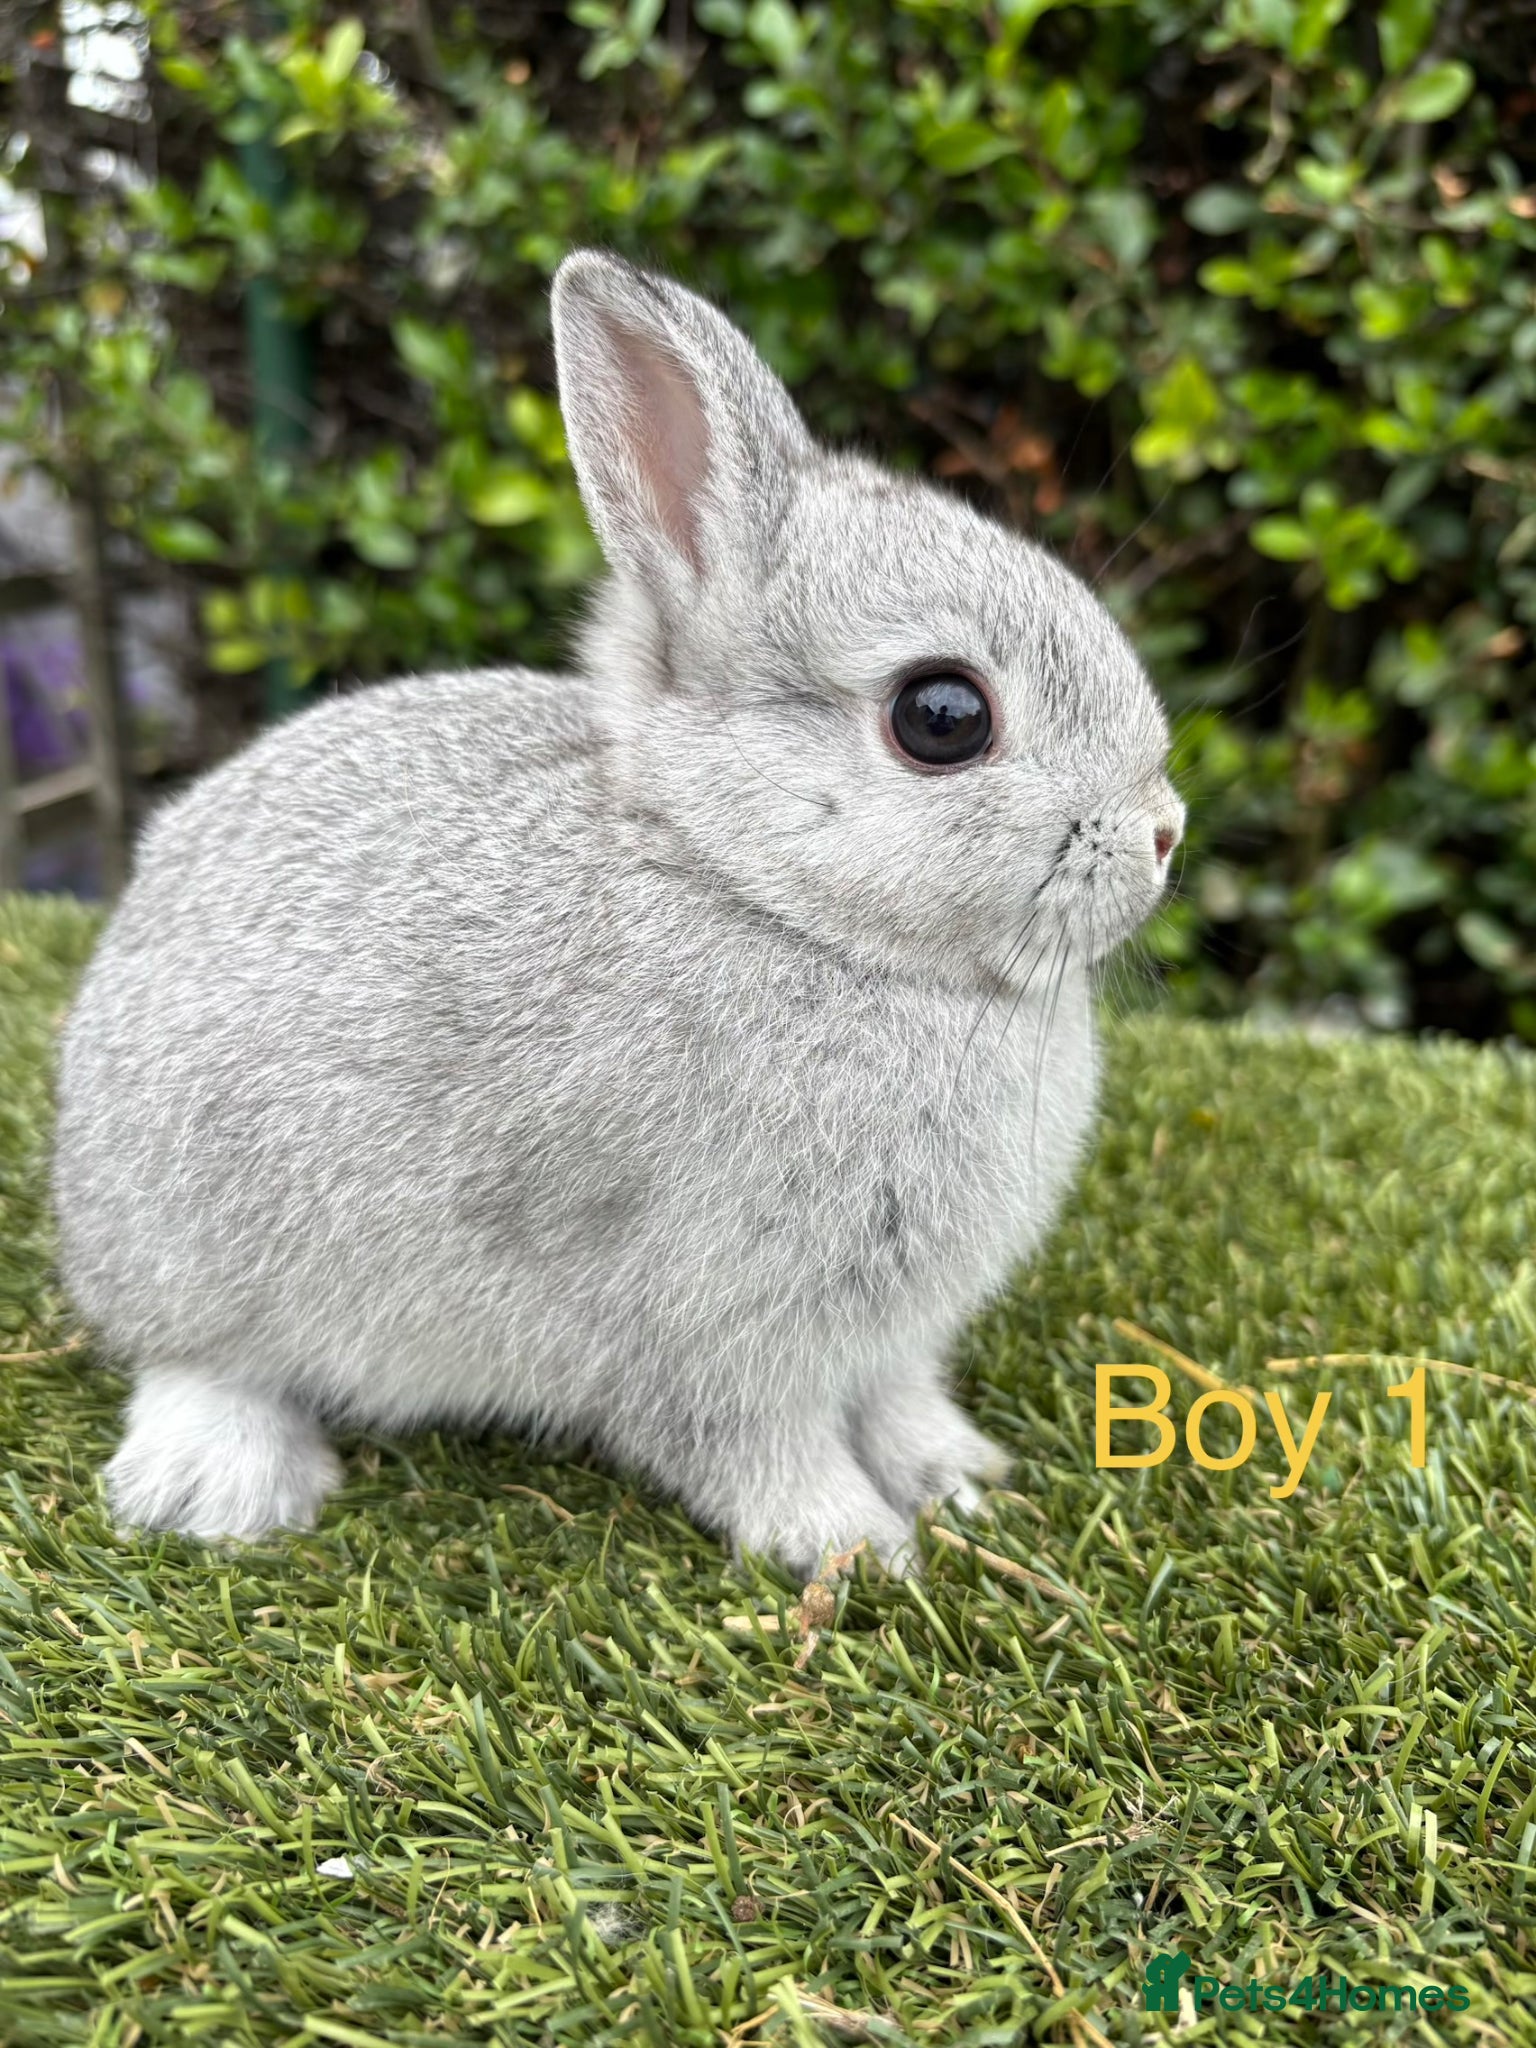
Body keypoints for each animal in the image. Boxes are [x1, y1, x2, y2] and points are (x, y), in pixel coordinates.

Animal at [50, 249, 1183, 1580]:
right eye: (943, 715)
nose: (1164, 831)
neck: (767, 898)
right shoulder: (713, 1317)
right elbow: (754, 1442)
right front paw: (854, 1550)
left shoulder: (887, 1334)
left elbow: (901, 1400)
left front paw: (961, 1480)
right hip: (195, 1238)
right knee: (191, 1359)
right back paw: (223, 1485)